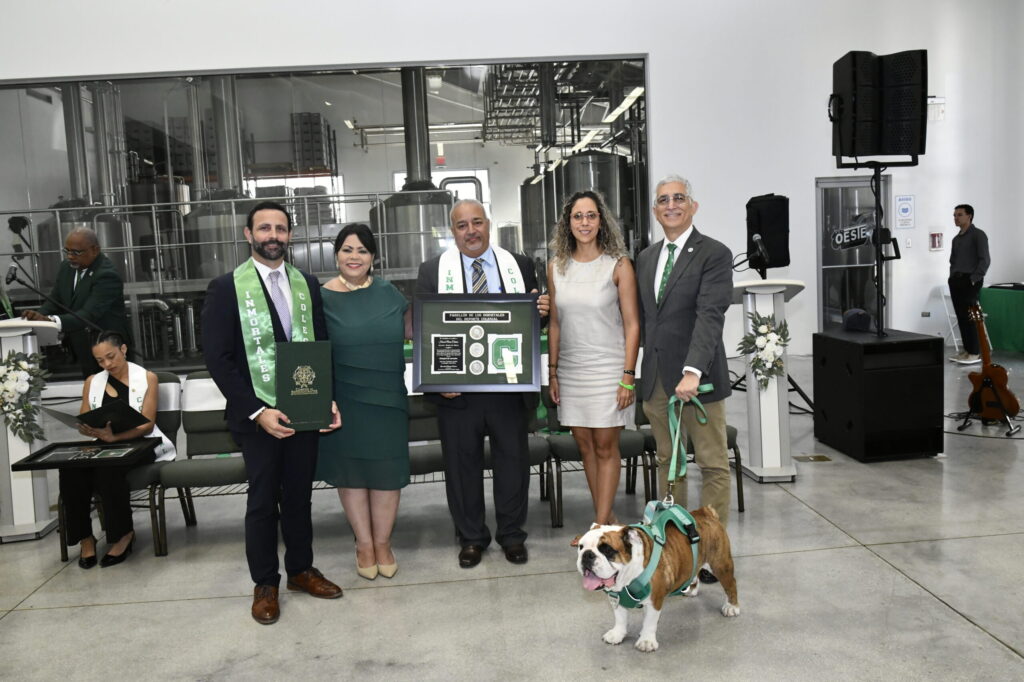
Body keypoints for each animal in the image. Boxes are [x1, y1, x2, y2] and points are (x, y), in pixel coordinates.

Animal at [576, 505, 739, 652]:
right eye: (581, 547)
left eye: (607, 549)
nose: (587, 555)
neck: (627, 578)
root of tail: (705, 512)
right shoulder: (617, 598)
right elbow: (620, 618)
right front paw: (617, 634)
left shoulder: (655, 600)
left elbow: (649, 622)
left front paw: (646, 641)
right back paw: (691, 589)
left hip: (720, 564)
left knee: (731, 584)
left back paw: (732, 607)